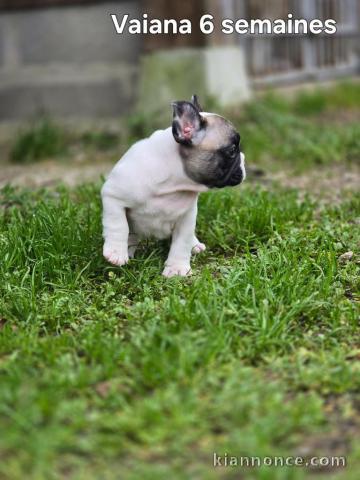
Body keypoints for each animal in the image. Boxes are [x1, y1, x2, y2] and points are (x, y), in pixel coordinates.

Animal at [102, 96, 246, 278]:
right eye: (232, 150)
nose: (243, 159)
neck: (172, 184)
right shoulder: (113, 196)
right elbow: (118, 224)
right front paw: (116, 252)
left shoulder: (187, 218)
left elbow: (181, 243)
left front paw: (177, 269)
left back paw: (195, 244)